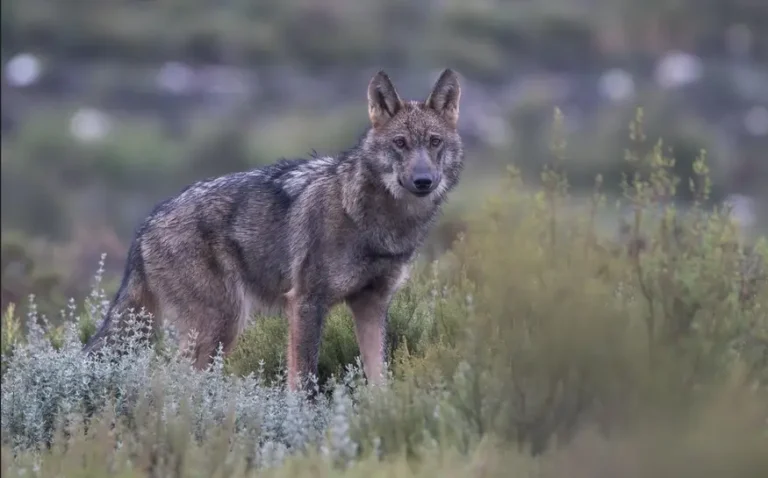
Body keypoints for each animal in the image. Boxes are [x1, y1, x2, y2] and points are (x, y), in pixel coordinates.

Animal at [83, 69, 464, 391]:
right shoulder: (306, 303)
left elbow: (379, 379)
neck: (372, 220)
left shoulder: (371, 305)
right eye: (400, 143)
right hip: (221, 325)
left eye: (434, 142)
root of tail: (147, 223)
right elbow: (303, 382)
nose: (424, 181)